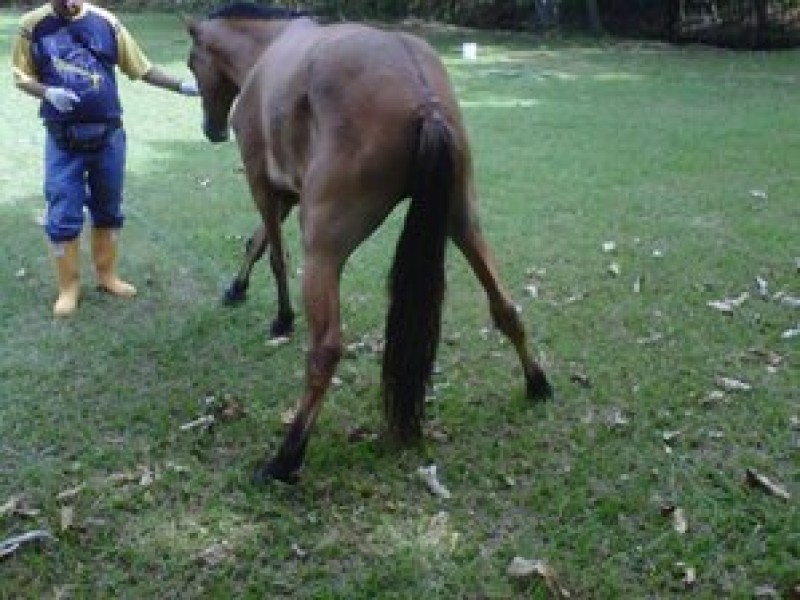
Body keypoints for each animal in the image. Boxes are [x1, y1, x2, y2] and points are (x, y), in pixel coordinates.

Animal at [186, 3, 552, 482]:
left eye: (191, 63)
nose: (211, 129)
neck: (270, 46)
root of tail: (423, 100)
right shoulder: (287, 191)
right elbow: (258, 241)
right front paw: (238, 288)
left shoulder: (263, 185)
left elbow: (274, 254)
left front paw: (281, 316)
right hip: (463, 223)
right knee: (505, 307)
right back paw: (537, 382)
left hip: (323, 248)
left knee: (325, 350)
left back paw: (287, 456)